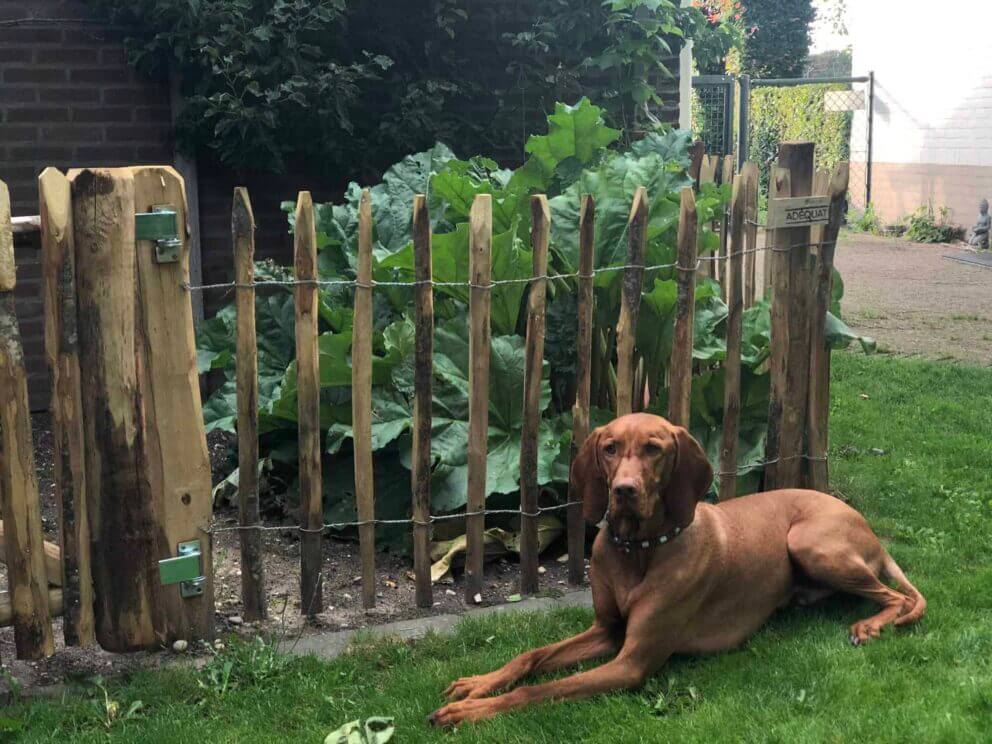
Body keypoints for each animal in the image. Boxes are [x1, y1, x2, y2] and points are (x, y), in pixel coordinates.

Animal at [430, 412, 928, 728]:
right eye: (610, 448)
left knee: (899, 597)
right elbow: (530, 657)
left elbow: (540, 690)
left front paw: (469, 713)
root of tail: (862, 521)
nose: (624, 490)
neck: (638, 549)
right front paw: (477, 685)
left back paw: (870, 626)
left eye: (653, 449)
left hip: (808, 542)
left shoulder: (630, 662)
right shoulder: (607, 631)